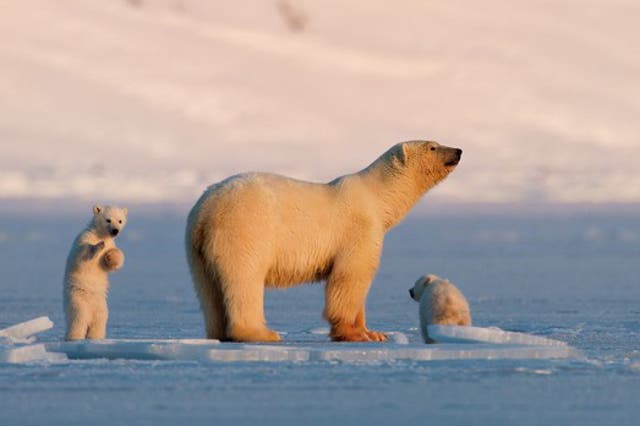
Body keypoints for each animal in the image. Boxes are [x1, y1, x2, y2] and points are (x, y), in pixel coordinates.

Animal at [63, 204, 127, 341]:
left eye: (120, 221)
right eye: (108, 220)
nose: (115, 231)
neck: (100, 234)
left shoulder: (111, 243)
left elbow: (111, 262)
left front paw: (110, 256)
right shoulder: (84, 237)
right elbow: (80, 256)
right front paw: (98, 246)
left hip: (101, 306)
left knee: (99, 321)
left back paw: (96, 337)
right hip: (77, 300)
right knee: (78, 319)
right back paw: (74, 337)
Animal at [186, 140, 462, 342]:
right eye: (433, 146)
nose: (458, 151)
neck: (376, 197)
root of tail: (206, 209)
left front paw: (375, 333)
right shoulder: (358, 229)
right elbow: (350, 277)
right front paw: (354, 334)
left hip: (196, 248)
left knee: (208, 290)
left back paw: (219, 333)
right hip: (245, 230)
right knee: (244, 278)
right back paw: (261, 333)